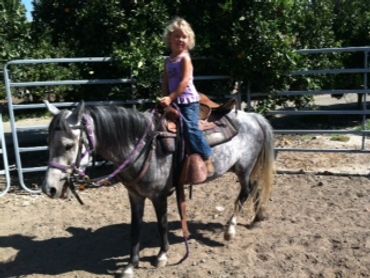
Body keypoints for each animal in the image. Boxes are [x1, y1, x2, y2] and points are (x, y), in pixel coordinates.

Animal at [42, 101, 274, 278]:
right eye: (48, 143)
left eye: (68, 145)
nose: (49, 188)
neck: (144, 147)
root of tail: (253, 116)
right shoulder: (135, 195)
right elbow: (135, 228)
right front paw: (130, 265)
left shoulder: (159, 195)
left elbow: (162, 224)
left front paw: (162, 256)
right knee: (255, 188)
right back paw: (256, 219)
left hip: (244, 168)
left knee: (245, 192)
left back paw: (230, 230)